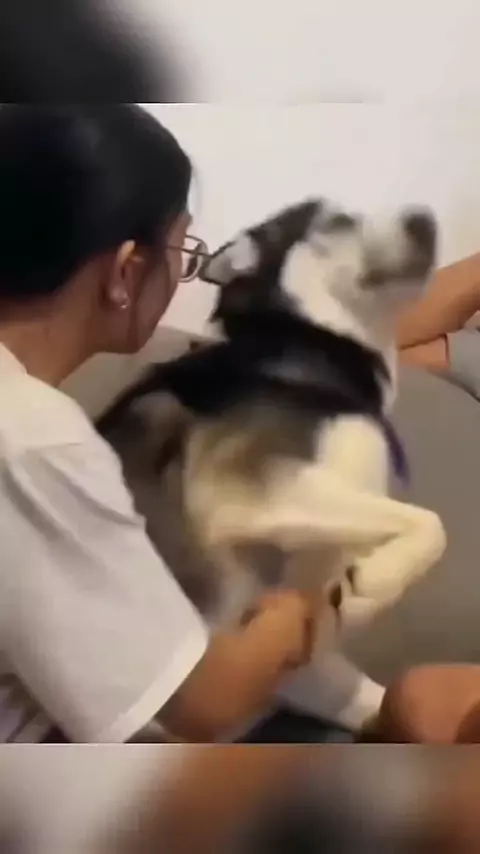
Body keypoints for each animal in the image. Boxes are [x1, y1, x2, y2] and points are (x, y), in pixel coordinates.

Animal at [97, 198, 446, 732]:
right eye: (337, 221)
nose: (425, 220)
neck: (310, 344)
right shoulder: (247, 491)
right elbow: (430, 522)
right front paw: (377, 583)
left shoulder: (303, 660)